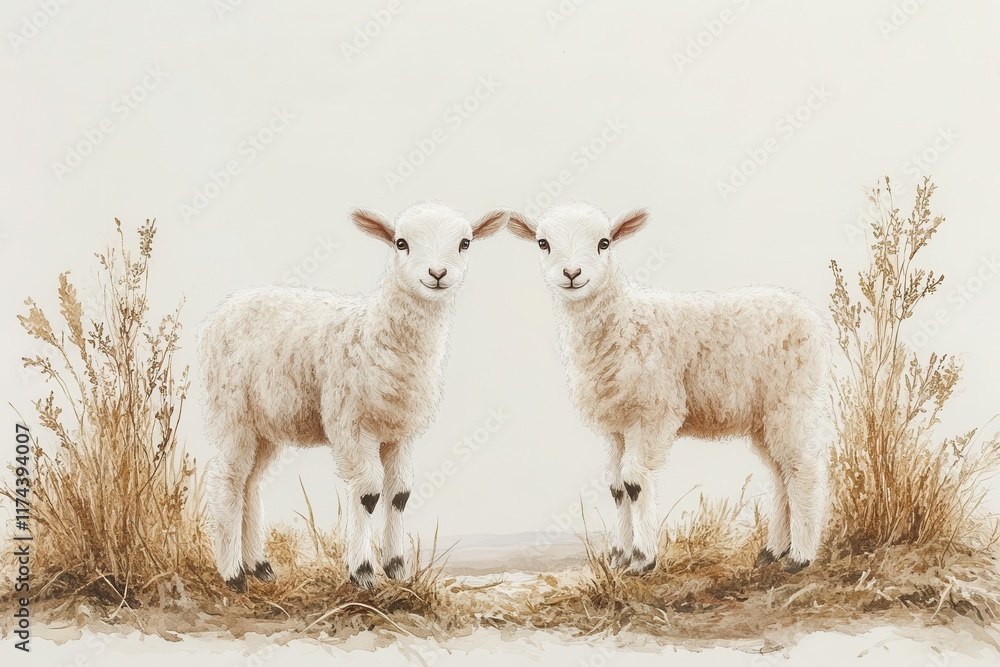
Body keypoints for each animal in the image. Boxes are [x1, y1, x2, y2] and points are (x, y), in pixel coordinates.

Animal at [198, 202, 509, 591]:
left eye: (465, 243)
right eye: (401, 242)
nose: (437, 273)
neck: (375, 334)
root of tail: (227, 306)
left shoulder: (400, 430)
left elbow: (399, 493)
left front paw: (396, 567)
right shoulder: (350, 423)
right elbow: (368, 492)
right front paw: (361, 571)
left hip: (266, 424)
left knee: (250, 483)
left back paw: (260, 566)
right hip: (231, 411)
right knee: (225, 480)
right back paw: (234, 574)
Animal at [507, 202, 831, 574]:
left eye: (604, 243)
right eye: (543, 243)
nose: (572, 273)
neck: (623, 321)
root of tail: (808, 313)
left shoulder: (653, 412)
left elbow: (634, 480)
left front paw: (642, 558)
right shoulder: (615, 426)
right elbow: (615, 486)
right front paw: (618, 556)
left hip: (791, 399)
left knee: (802, 468)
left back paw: (800, 556)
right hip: (762, 415)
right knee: (780, 472)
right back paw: (773, 551)